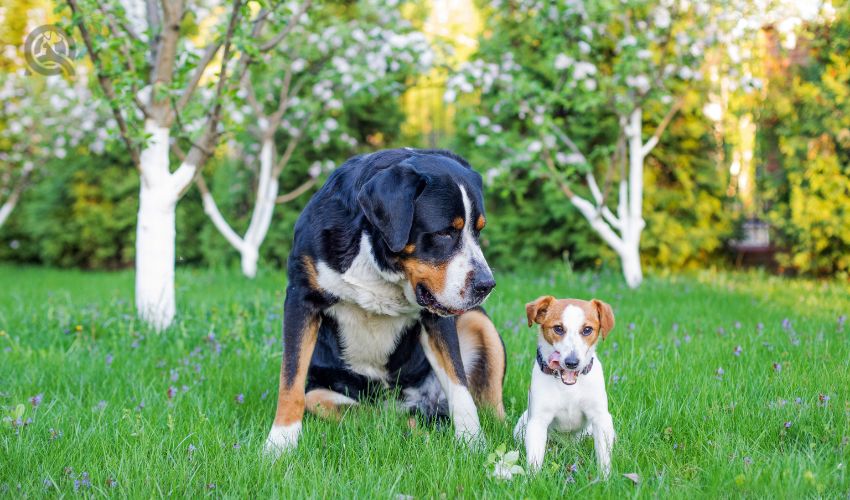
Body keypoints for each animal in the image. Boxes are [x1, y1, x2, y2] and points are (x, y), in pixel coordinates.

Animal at [264, 148, 504, 458]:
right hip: (324, 390)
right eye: (444, 233)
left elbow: (459, 384)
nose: (486, 284)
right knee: (370, 414)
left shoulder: (437, 317)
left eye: (478, 231)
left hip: (477, 319)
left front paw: (473, 442)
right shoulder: (301, 298)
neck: (379, 263)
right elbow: (291, 379)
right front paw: (280, 443)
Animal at [510, 294, 616, 478]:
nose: (571, 362)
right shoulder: (537, 422)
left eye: (587, 330)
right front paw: (532, 479)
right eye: (558, 328)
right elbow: (534, 459)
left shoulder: (601, 419)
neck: (569, 387)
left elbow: (603, 457)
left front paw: (605, 479)